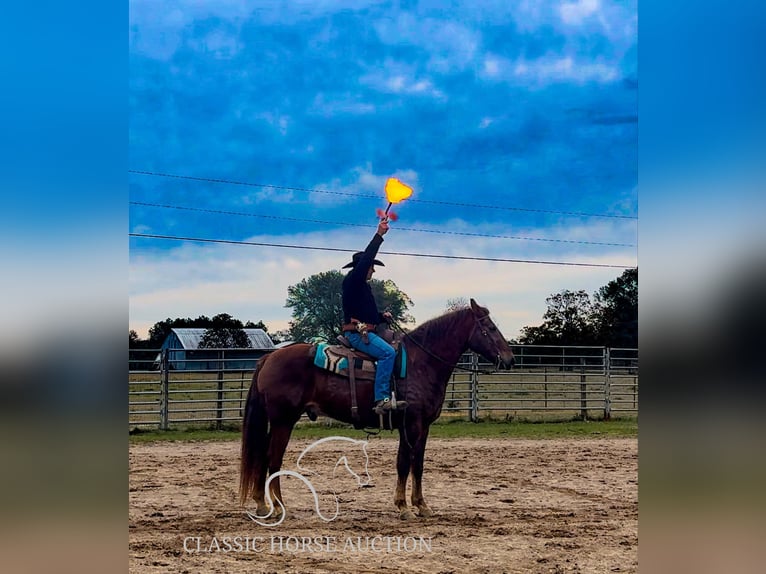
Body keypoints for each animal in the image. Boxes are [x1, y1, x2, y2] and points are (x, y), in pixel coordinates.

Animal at [240, 302, 516, 520]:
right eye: (491, 328)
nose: (510, 359)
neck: (420, 362)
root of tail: (269, 358)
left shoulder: (424, 426)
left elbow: (418, 464)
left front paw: (421, 505)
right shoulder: (410, 424)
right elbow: (404, 463)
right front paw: (403, 507)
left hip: (277, 422)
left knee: (262, 456)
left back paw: (262, 504)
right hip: (283, 421)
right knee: (273, 458)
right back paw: (278, 506)